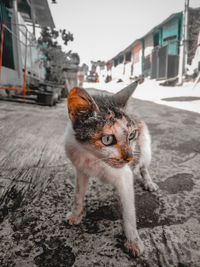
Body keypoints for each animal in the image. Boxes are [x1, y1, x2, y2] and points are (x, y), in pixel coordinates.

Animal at [65, 82, 159, 258]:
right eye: (107, 139)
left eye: (131, 135)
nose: (129, 158)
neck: (93, 157)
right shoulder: (80, 168)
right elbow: (78, 195)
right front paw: (75, 214)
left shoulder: (125, 176)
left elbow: (129, 211)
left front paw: (133, 241)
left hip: (145, 148)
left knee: (143, 166)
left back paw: (148, 182)